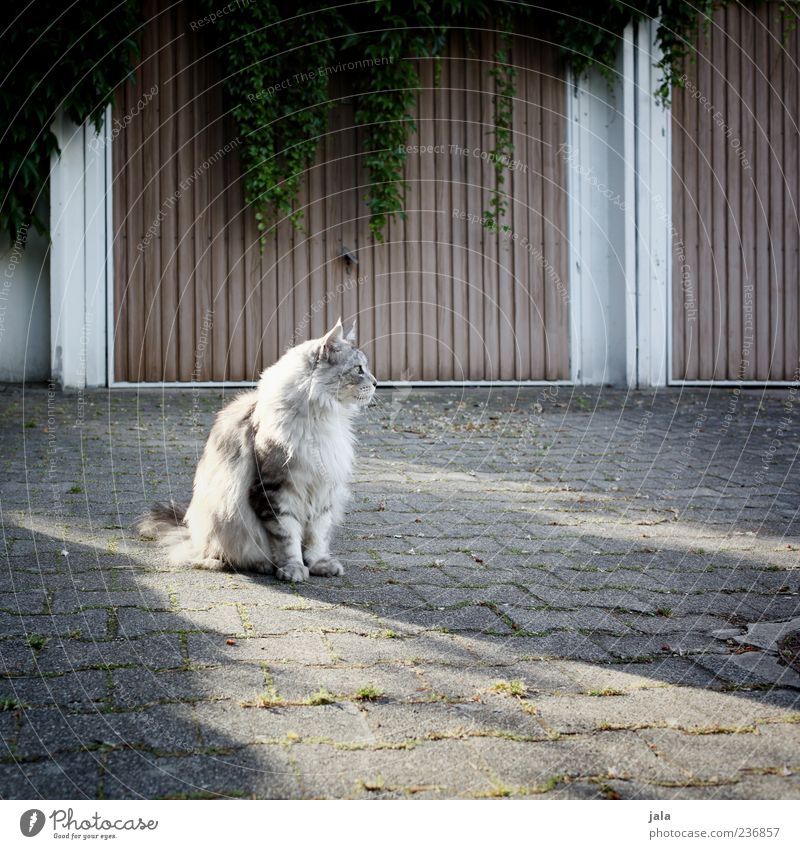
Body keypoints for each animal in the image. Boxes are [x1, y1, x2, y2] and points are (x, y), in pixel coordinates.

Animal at [135, 320, 378, 584]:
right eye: (359, 369)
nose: (376, 382)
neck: (320, 419)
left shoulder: (322, 490)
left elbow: (317, 537)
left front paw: (319, 564)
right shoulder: (276, 489)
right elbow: (287, 537)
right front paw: (293, 568)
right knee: (209, 554)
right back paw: (252, 564)